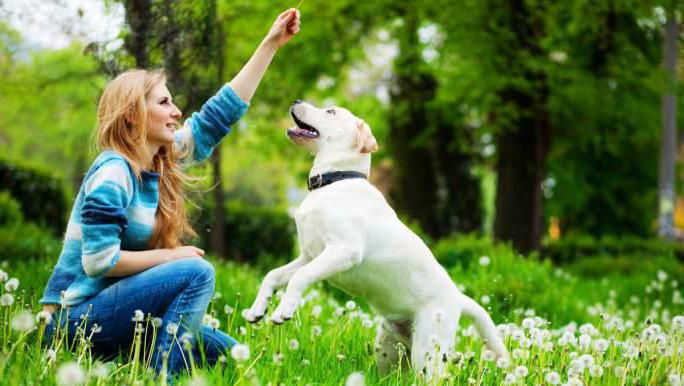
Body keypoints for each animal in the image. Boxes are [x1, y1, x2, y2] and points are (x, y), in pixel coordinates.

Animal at [242, 100, 508, 380]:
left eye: (331, 112)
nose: (296, 102)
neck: (333, 181)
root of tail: (458, 297)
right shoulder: (309, 255)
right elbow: (273, 275)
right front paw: (257, 309)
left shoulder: (342, 251)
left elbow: (299, 277)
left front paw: (284, 310)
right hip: (387, 350)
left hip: (428, 352)